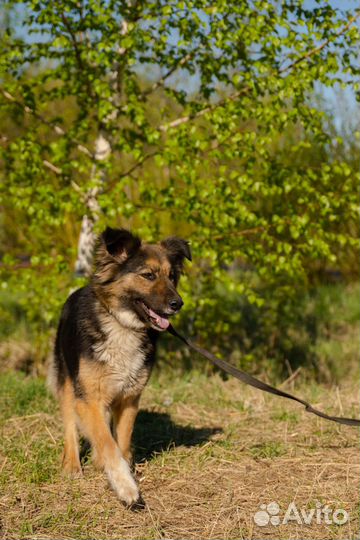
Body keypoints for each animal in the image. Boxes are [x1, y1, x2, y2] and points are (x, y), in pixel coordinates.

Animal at [49, 228, 193, 506]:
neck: (123, 326)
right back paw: (72, 464)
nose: (178, 303)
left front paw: (124, 471)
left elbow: (121, 442)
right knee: (71, 424)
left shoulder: (129, 398)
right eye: (148, 275)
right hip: (68, 380)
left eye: (172, 276)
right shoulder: (89, 399)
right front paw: (126, 487)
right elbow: (108, 443)